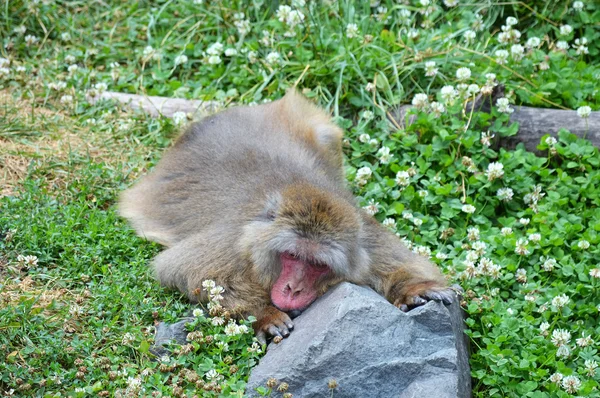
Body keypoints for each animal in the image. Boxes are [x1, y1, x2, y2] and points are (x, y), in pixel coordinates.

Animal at [119, 89, 452, 342]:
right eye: (291, 255)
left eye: (317, 265)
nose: (293, 289)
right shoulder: (233, 242)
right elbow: (182, 270)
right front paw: (264, 314)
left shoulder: (366, 239)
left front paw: (412, 288)